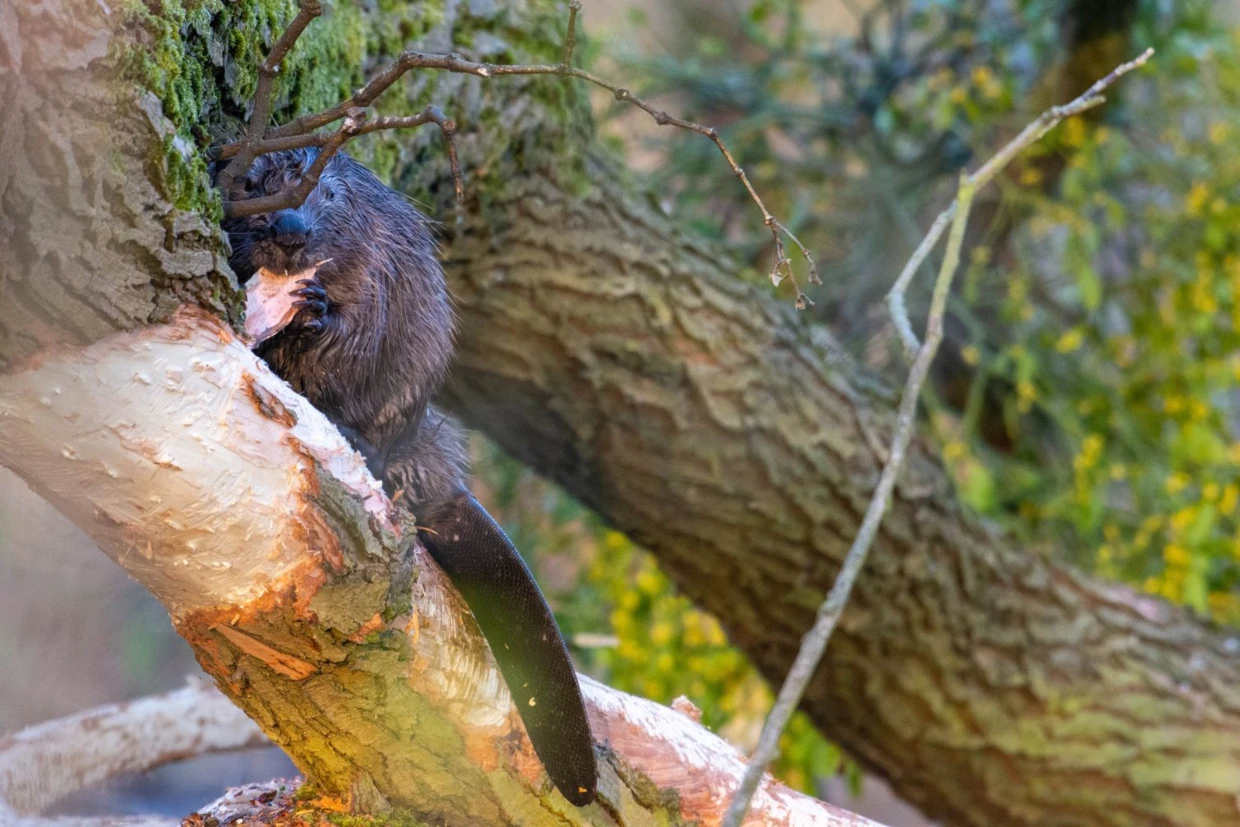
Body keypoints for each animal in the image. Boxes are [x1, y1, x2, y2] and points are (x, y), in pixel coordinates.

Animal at [219, 148, 600, 808]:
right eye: (251, 181)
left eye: (329, 194)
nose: (290, 229)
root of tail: (446, 489)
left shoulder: (383, 267)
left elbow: (360, 333)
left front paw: (314, 309)